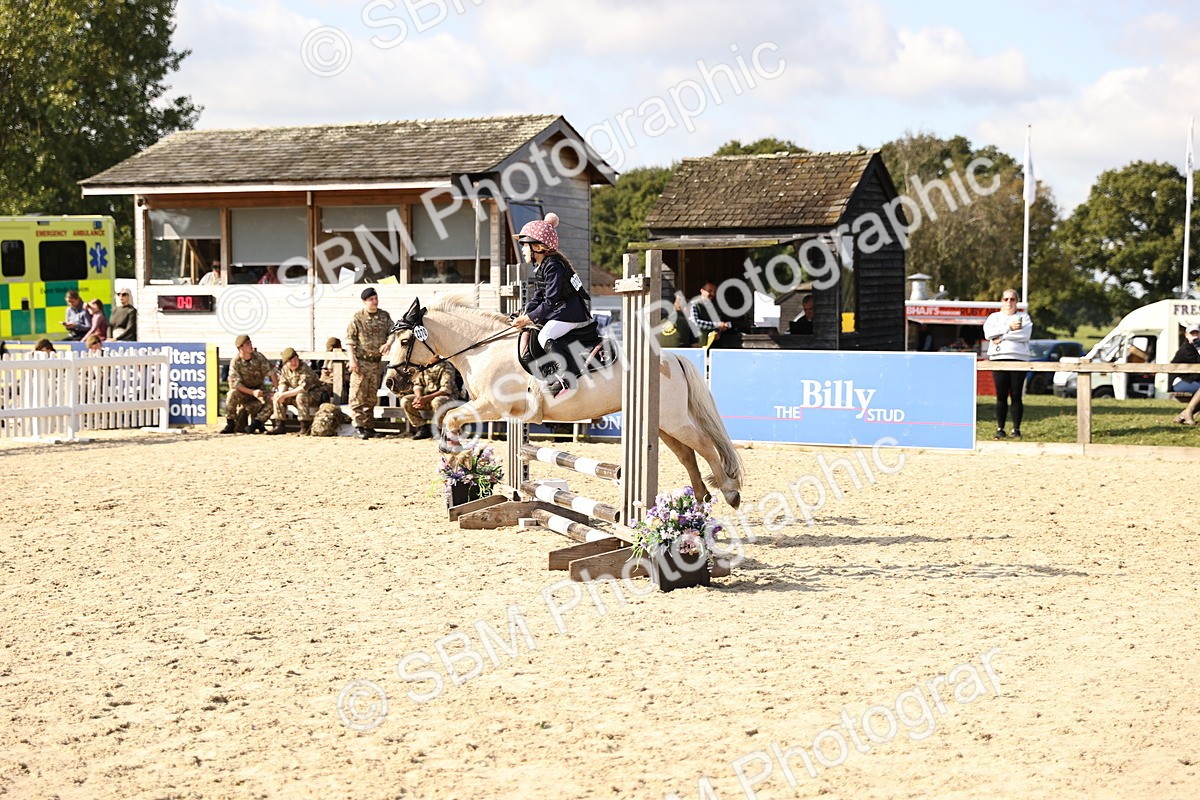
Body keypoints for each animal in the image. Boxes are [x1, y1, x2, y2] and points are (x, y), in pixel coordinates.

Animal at [385, 294, 744, 508]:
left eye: (404, 341)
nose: (390, 381)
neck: (483, 347)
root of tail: (672, 358)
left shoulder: (492, 405)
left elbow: (450, 419)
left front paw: (455, 460)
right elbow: (454, 423)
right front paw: (459, 466)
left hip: (673, 421)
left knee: (704, 446)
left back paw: (730, 492)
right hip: (662, 424)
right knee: (687, 455)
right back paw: (701, 497)